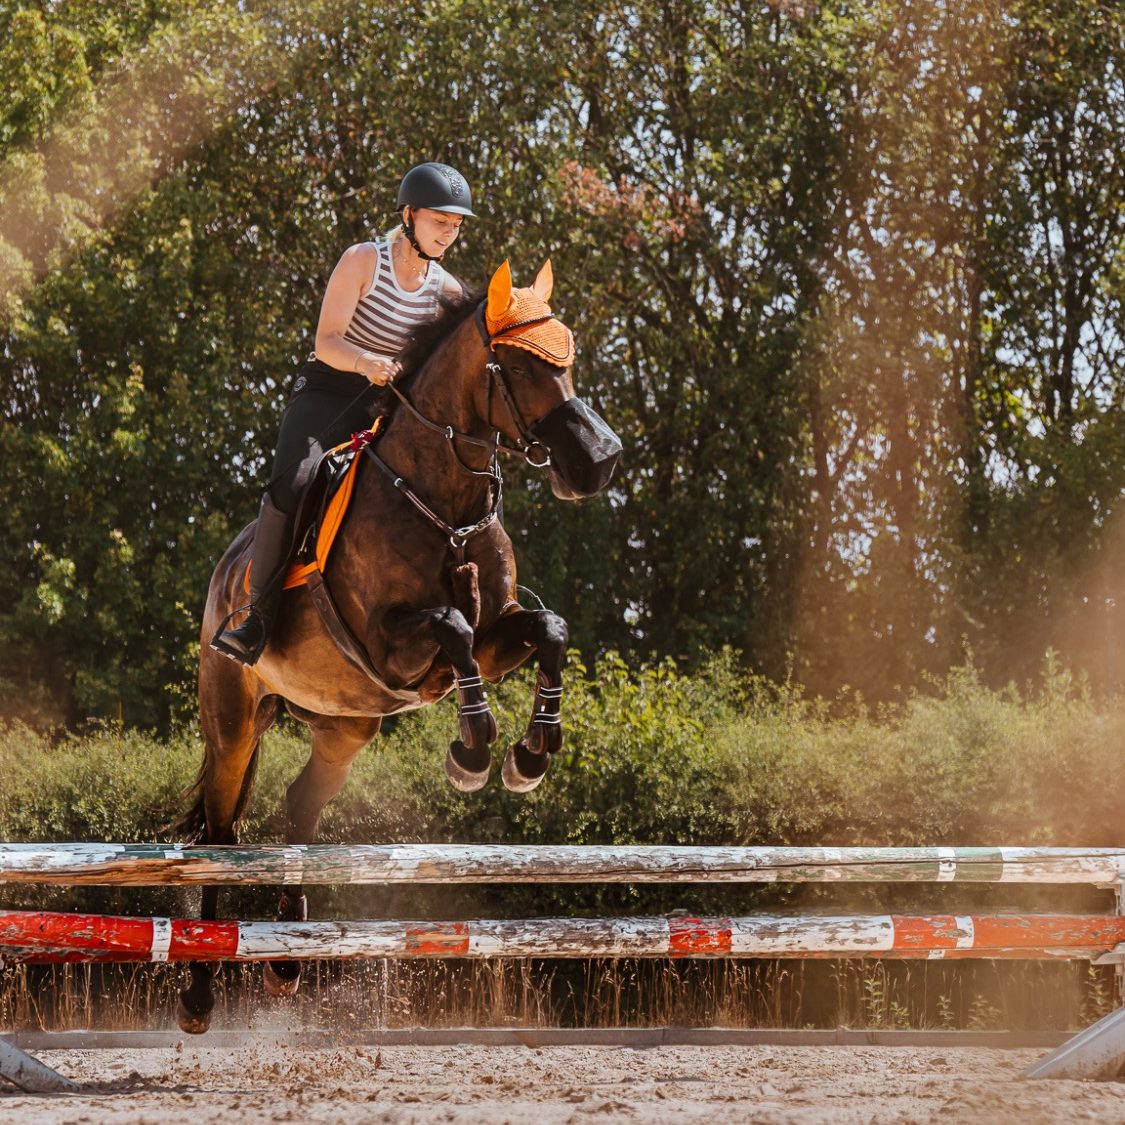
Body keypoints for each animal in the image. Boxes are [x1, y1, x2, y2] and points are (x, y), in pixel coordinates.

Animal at [176, 260, 622, 1034]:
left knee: (300, 809)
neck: (446, 502)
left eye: (567, 362)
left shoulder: (497, 633)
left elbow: (549, 629)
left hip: (344, 725)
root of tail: (223, 577)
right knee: (221, 838)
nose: (601, 462)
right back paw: (201, 992)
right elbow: (450, 625)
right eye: (521, 366)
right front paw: (473, 750)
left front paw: (530, 755)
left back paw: (288, 957)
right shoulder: (391, 646)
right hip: (232, 715)